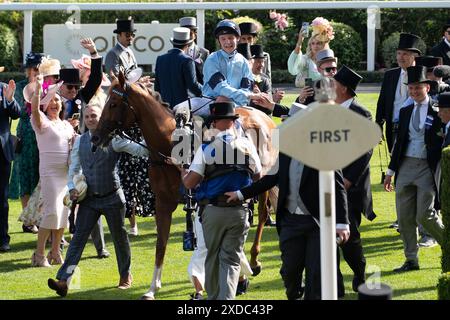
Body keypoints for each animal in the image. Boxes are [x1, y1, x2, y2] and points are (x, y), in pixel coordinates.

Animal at [91, 70, 278, 300]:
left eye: (114, 103)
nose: (95, 137)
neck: (171, 146)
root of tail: (265, 118)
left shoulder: (199, 200)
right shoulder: (163, 203)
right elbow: (161, 245)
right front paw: (153, 288)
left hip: (262, 178)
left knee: (261, 214)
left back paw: (254, 260)